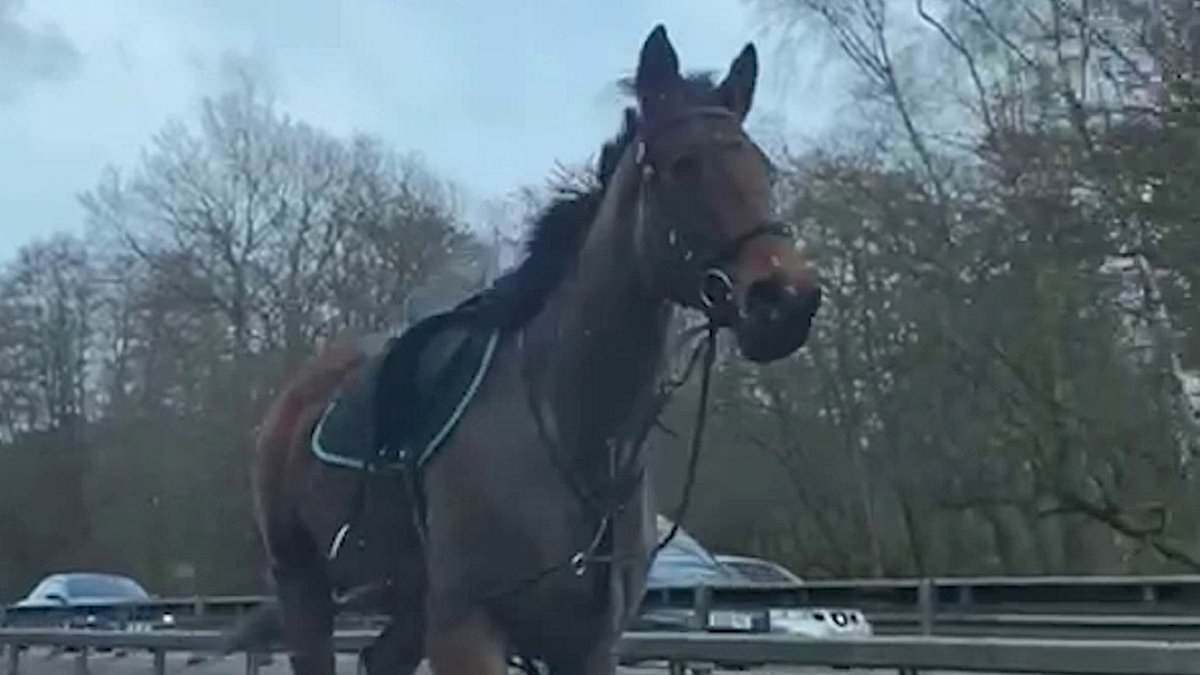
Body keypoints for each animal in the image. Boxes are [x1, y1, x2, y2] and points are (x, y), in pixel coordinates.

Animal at [228, 23, 820, 672]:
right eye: (682, 165)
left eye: (765, 170)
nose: (787, 300)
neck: (576, 434)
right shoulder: (468, 627)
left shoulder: (588, 643)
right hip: (306, 585)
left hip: (412, 602)